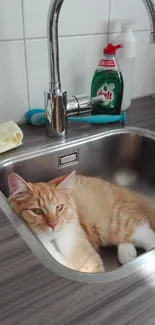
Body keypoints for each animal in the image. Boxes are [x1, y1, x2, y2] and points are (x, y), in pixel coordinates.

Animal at [8, 171, 155, 272]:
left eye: (59, 207)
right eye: (37, 211)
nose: (53, 224)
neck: (52, 239)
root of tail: (116, 187)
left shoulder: (89, 263)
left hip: (111, 225)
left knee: (145, 231)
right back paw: (128, 254)